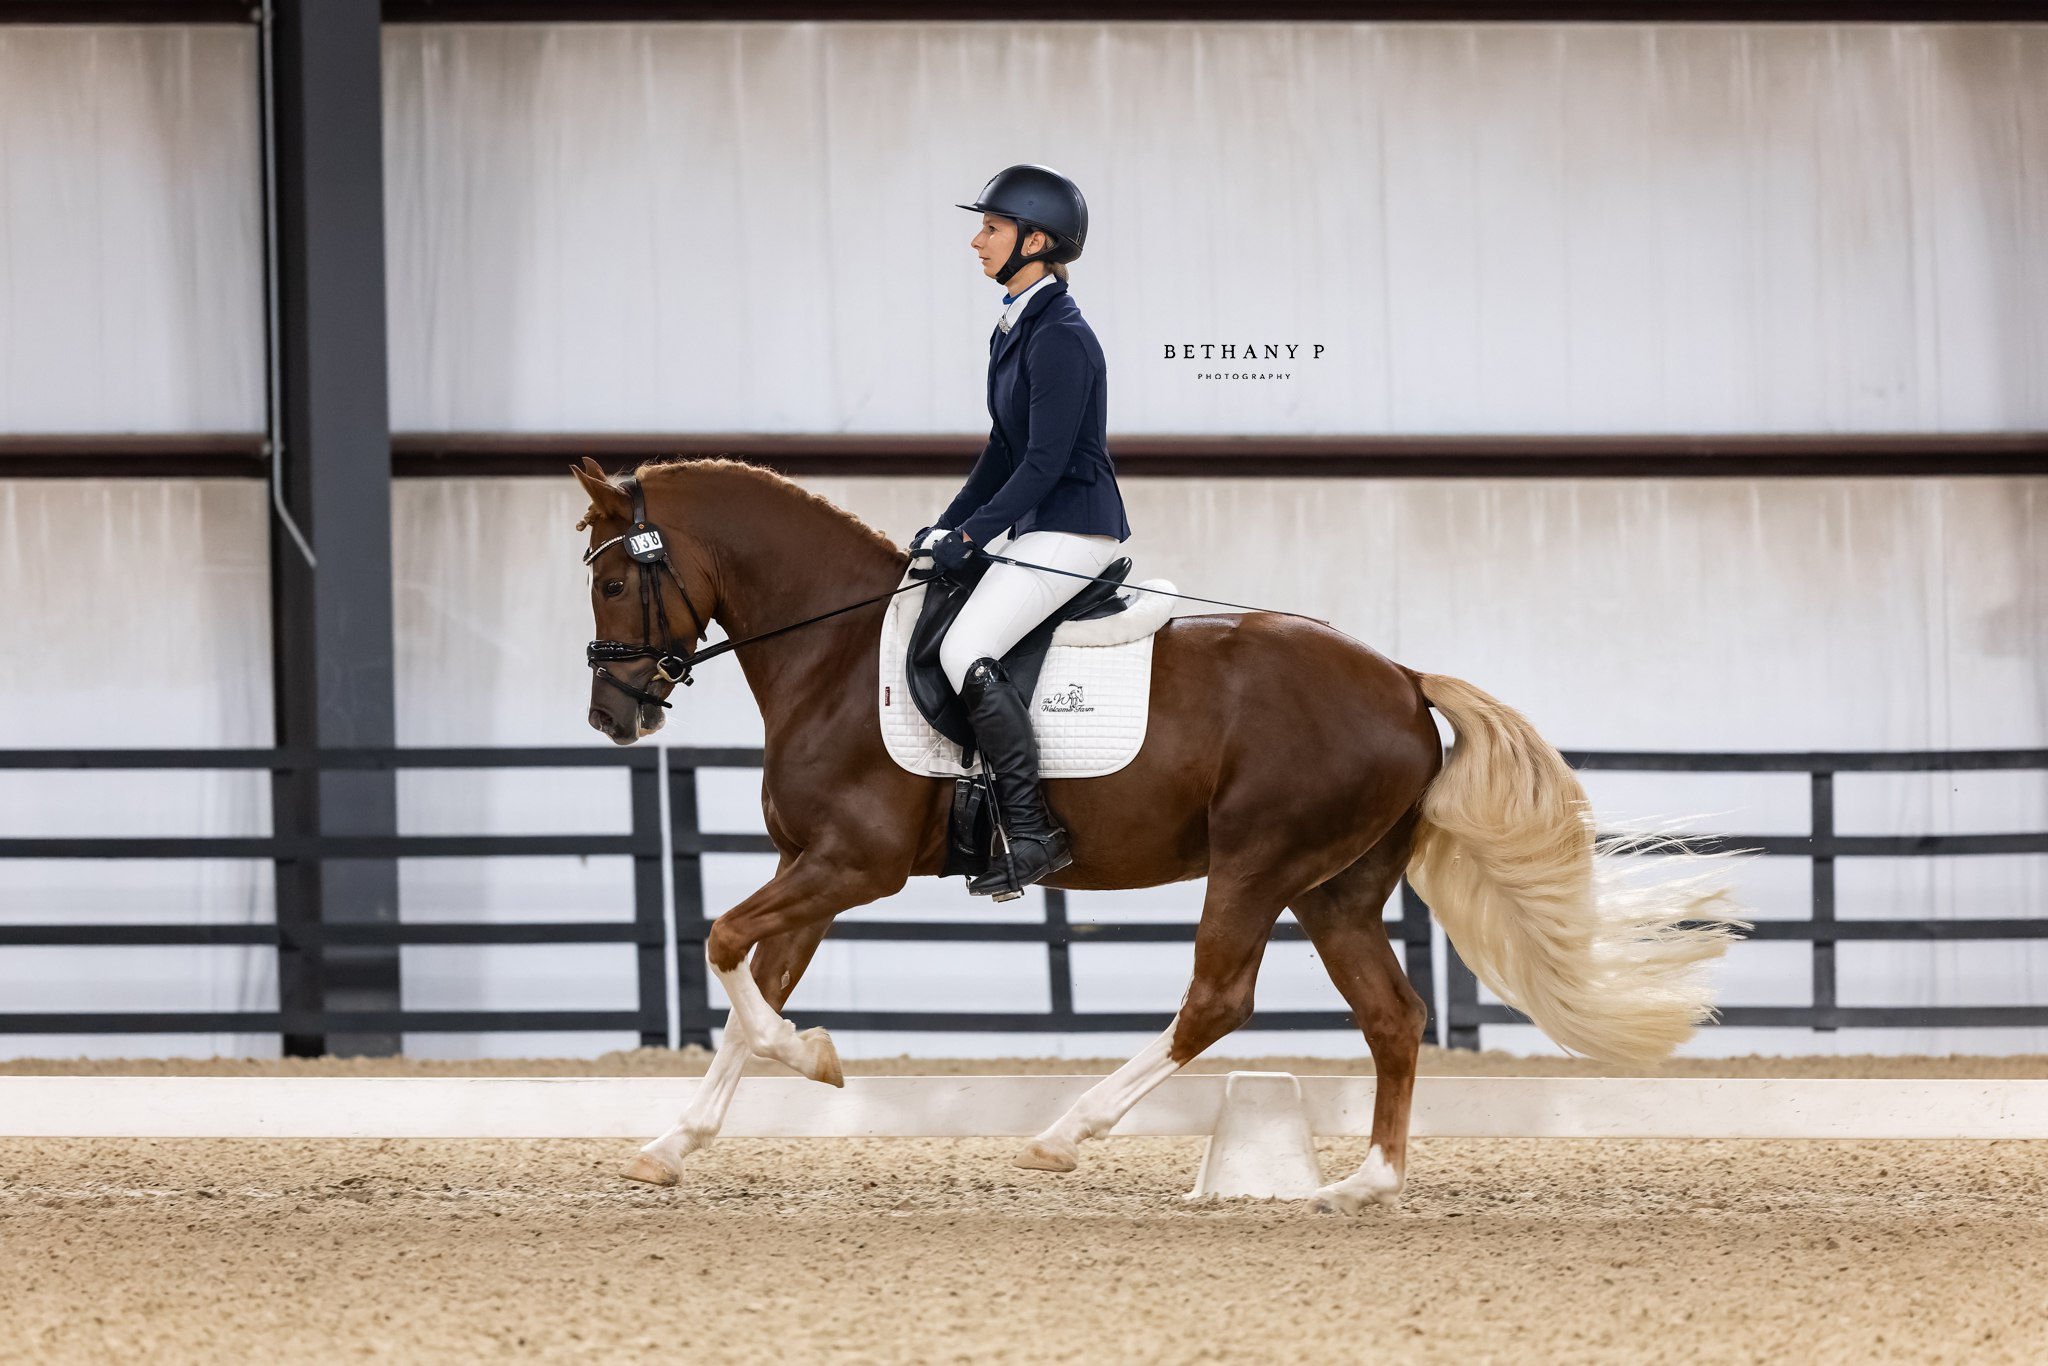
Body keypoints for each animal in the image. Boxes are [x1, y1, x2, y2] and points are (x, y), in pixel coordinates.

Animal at [573, 455, 1742, 1212]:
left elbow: (728, 948)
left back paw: (1065, 1135)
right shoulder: (809, 867)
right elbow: (751, 988)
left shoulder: (851, 864)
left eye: (614, 577)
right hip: (1333, 888)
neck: (837, 652)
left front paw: (814, 1062)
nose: (614, 717)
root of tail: (1404, 681)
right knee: (1392, 1015)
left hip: (1260, 861)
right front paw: (670, 1145)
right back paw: (1362, 1181)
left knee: (1218, 999)